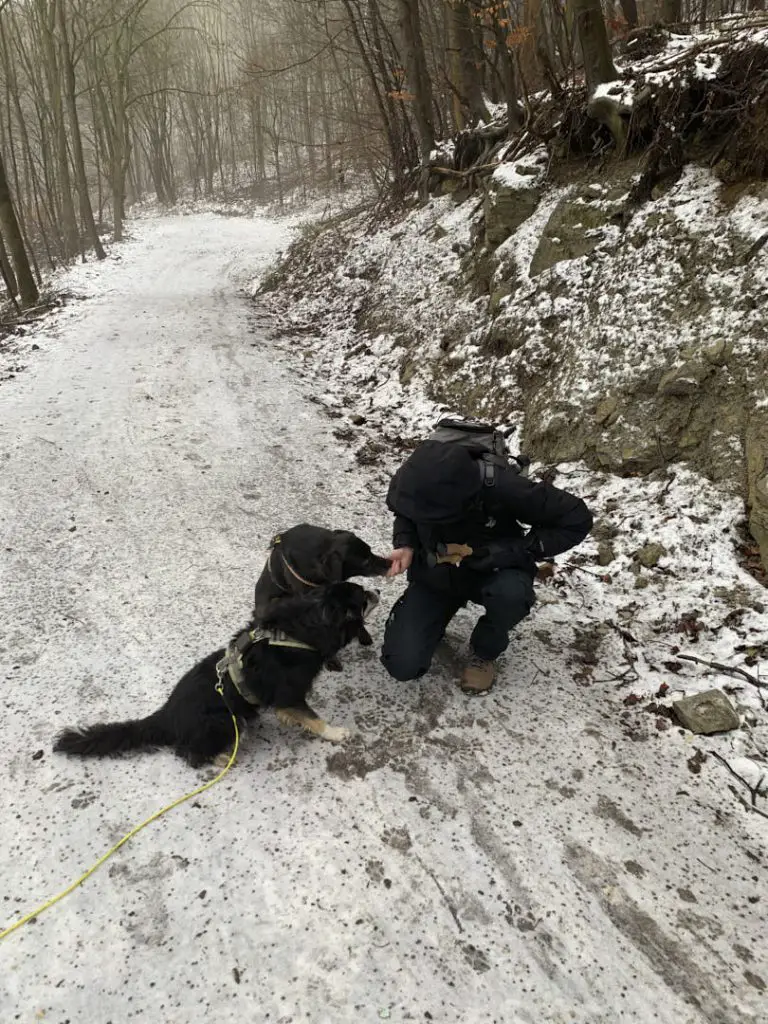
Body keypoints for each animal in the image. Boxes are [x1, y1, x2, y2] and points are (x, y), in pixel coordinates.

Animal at [54, 585, 378, 770]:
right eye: (363, 598)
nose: (377, 591)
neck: (303, 629)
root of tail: (165, 715)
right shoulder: (289, 697)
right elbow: (314, 719)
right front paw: (336, 733)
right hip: (228, 721)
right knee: (186, 753)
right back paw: (221, 758)